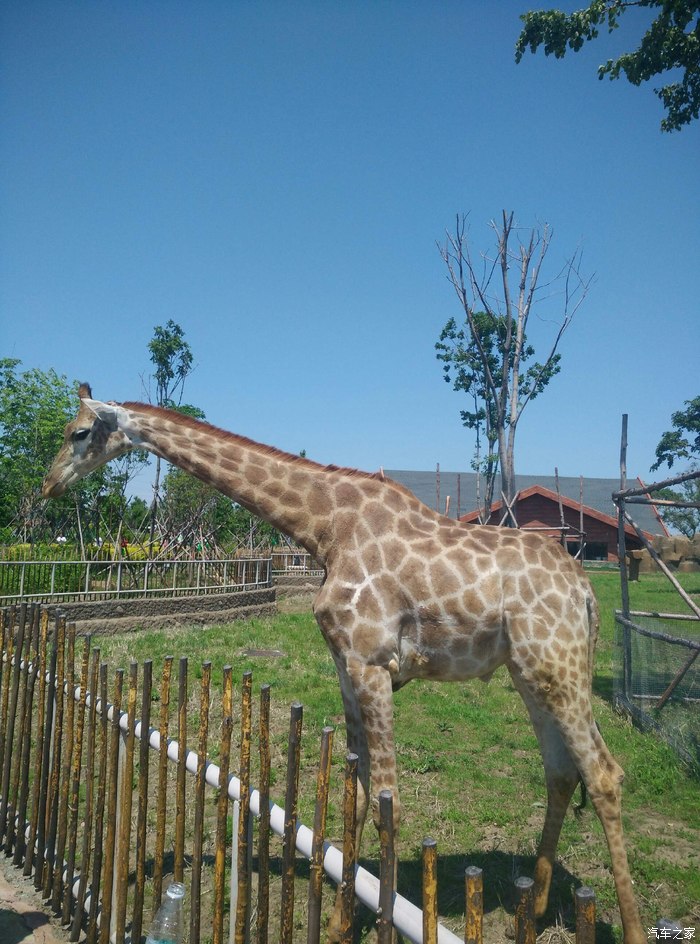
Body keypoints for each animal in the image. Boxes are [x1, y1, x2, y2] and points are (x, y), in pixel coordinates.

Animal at [42, 386, 644, 944]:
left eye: (78, 432)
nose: (48, 485)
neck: (324, 527)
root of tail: (586, 590)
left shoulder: (373, 663)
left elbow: (386, 803)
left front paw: (378, 920)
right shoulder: (346, 665)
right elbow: (354, 794)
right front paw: (337, 922)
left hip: (558, 665)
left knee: (605, 774)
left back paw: (630, 926)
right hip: (532, 672)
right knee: (562, 772)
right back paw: (535, 911)